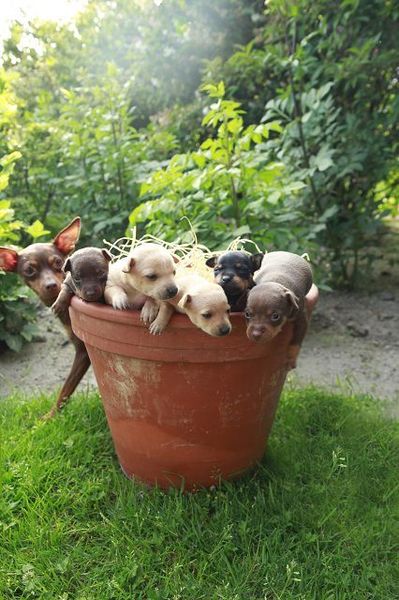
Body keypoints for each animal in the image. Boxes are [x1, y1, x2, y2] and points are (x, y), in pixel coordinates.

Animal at [0, 217, 90, 418]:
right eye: (29, 270)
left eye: (58, 263)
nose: (51, 285)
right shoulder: (82, 350)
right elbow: (66, 390)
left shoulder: (84, 352)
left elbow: (65, 389)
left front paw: (49, 418)